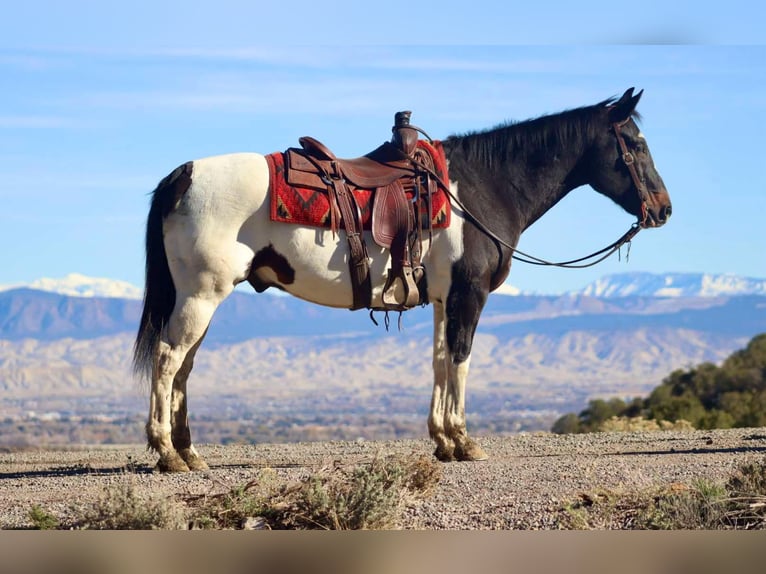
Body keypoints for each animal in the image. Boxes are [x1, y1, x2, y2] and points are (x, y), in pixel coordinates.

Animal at [133, 87, 672, 472]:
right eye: (636, 145)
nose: (664, 209)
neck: (481, 189)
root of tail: (184, 174)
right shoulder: (468, 295)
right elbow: (461, 360)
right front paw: (463, 441)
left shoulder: (443, 299)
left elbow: (438, 362)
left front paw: (442, 441)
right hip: (200, 295)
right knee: (167, 359)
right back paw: (166, 453)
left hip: (201, 299)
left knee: (184, 367)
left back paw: (190, 453)